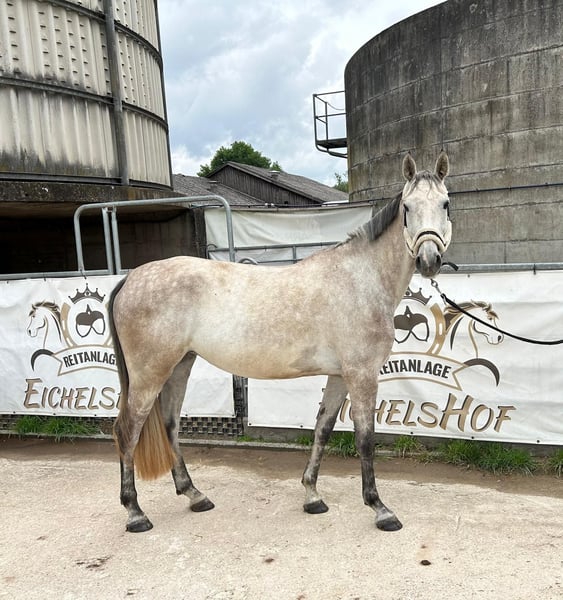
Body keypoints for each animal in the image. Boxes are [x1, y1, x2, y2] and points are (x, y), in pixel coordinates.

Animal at [108, 152, 452, 533]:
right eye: (407, 207)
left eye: (445, 204)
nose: (429, 260)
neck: (360, 279)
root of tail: (131, 278)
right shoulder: (362, 375)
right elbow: (365, 439)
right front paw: (379, 508)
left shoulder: (339, 375)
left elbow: (323, 429)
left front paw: (312, 495)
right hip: (149, 374)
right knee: (127, 430)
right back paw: (135, 513)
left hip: (179, 365)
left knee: (169, 424)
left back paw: (195, 495)